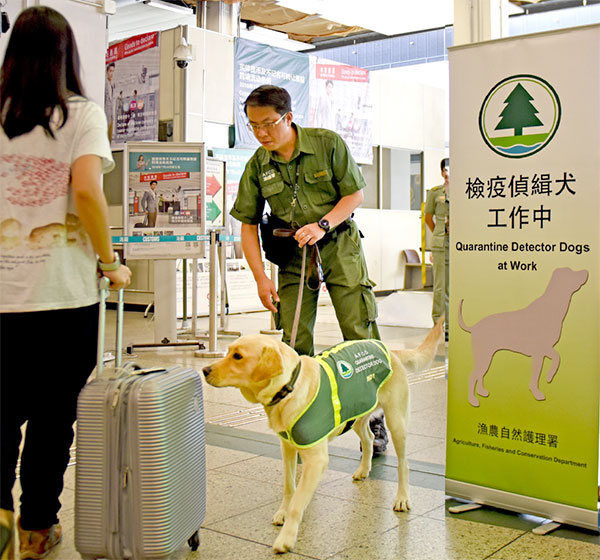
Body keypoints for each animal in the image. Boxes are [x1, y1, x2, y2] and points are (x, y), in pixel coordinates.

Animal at [202, 322, 440, 552]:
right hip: (356, 412)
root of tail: (390, 349)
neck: (289, 388)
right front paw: (283, 512)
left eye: (238, 356)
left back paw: (402, 497)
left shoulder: (317, 460)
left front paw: (286, 537)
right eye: (228, 352)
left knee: (403, 463)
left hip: (396, 420)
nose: (204, 370)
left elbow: (298, 502)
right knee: (369, 438)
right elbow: (289, 487)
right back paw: (364, 469)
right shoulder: (287, 449)